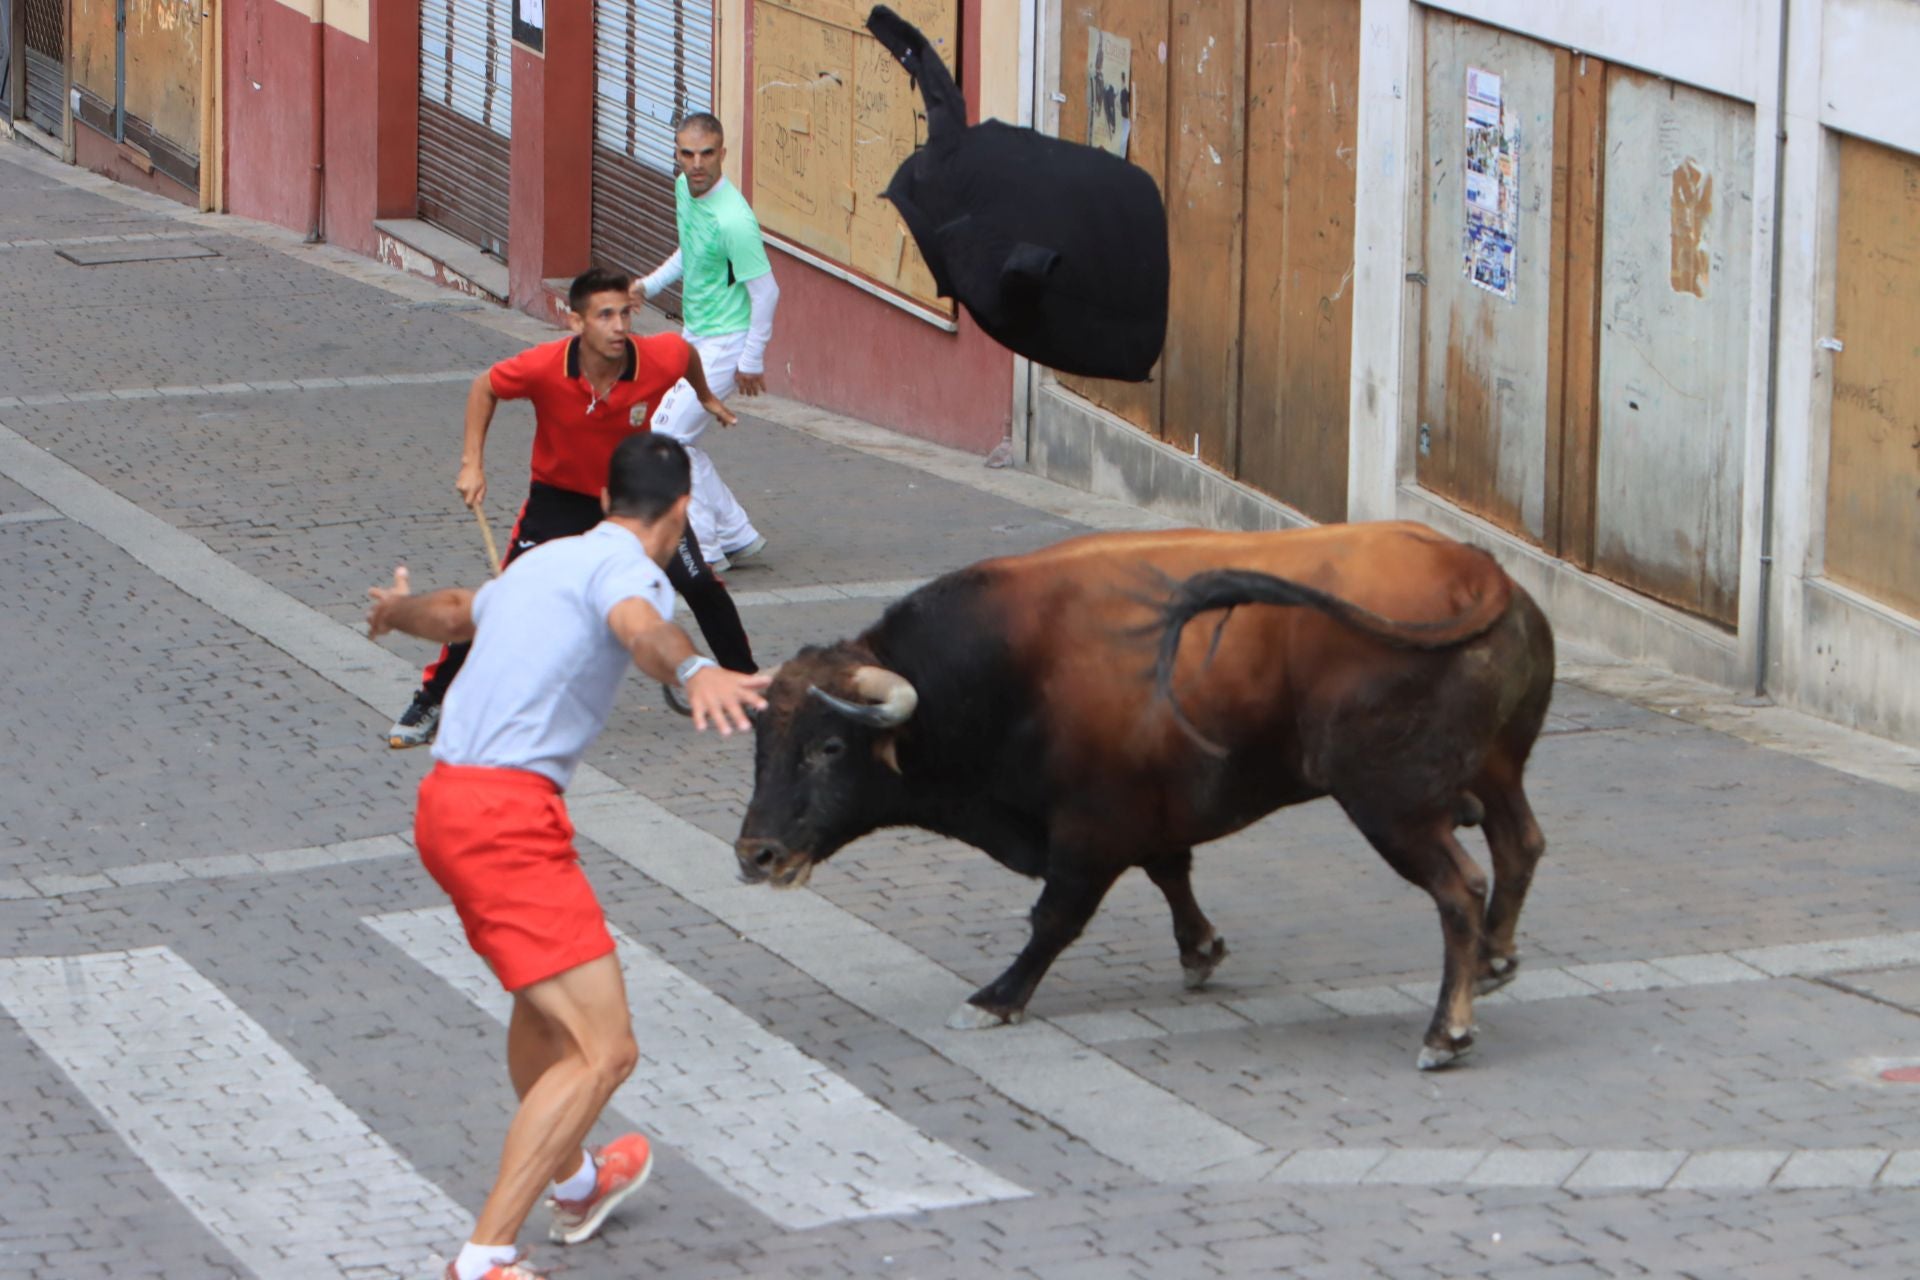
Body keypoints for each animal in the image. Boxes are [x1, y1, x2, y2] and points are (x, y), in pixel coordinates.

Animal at [733, 521, 1559, 1074]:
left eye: (829, 747)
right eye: (760, 740)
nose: (755, 854)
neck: (1012, 663)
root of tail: (1471, 567)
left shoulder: (1089, 833)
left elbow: (1055, 919)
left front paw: (995, 997)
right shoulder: (1149, 816)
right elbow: (1170, 873)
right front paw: (1200, 949)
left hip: (1394, 806)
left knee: (1460, 885)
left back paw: (1446, 1032)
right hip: (1497, 771)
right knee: (1520, 845)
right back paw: (1495, 960)